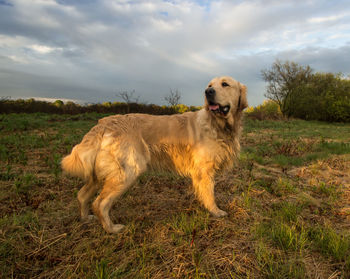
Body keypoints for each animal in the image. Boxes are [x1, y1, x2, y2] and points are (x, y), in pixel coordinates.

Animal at [63, 76, 249, 234]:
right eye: (210, 85)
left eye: (225, 84)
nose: (208, 92)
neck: (219, 125)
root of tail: (103, 124)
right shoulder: (205, 171)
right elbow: (210, 194)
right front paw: (216, 212)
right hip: (127, 172)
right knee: (100, 203)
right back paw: (112, 229)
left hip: (98, 174)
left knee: (82, 195)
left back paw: (86, 219)